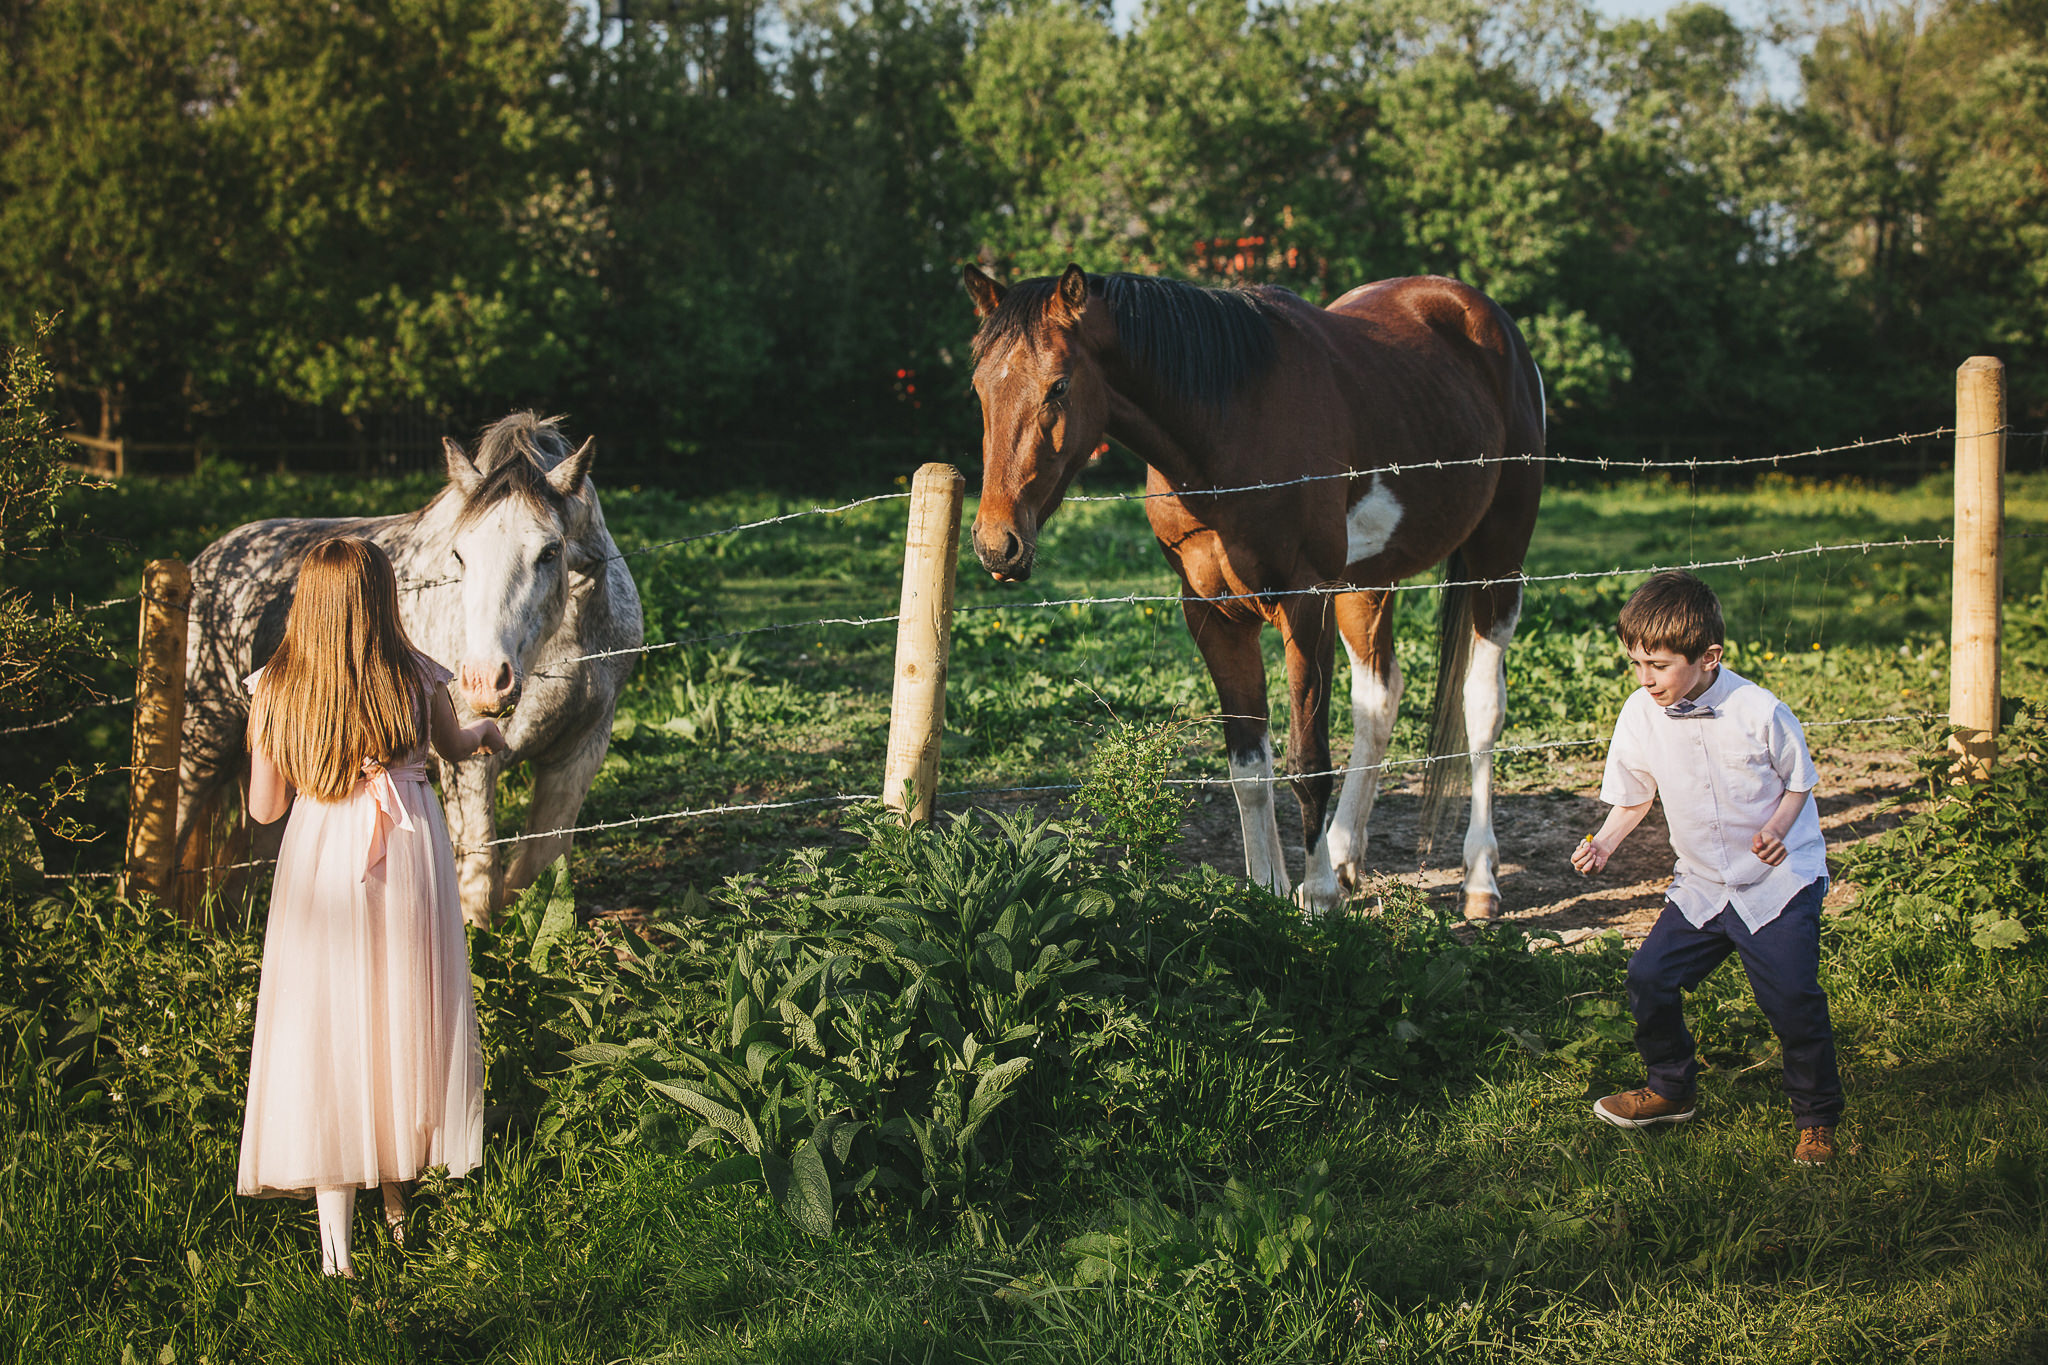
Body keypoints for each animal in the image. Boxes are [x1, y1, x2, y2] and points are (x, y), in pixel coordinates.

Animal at [176, 412, 644, 926]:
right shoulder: (469, 767)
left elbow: (539, 867)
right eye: (459, 555)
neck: (566, 649)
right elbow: (479, 880)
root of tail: (208, 562)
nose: (485, 680)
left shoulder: (579, 752)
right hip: (200, 743)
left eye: (549, 552)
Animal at [963, 264, 1544, 918]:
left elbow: (1307, 761)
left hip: (1498, 562)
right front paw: (1268, 891)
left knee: (1481, 708)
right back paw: (1345, 854)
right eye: (980, 388)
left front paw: (1317, 898)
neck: (1230, 426)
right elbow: (1248, 764)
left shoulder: (1305, 603)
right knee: (1379, 698)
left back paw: (1478, 879)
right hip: (1368, 583)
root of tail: (1480, 314)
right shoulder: (1213, 616)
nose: (997, 544)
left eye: (1058, 386)